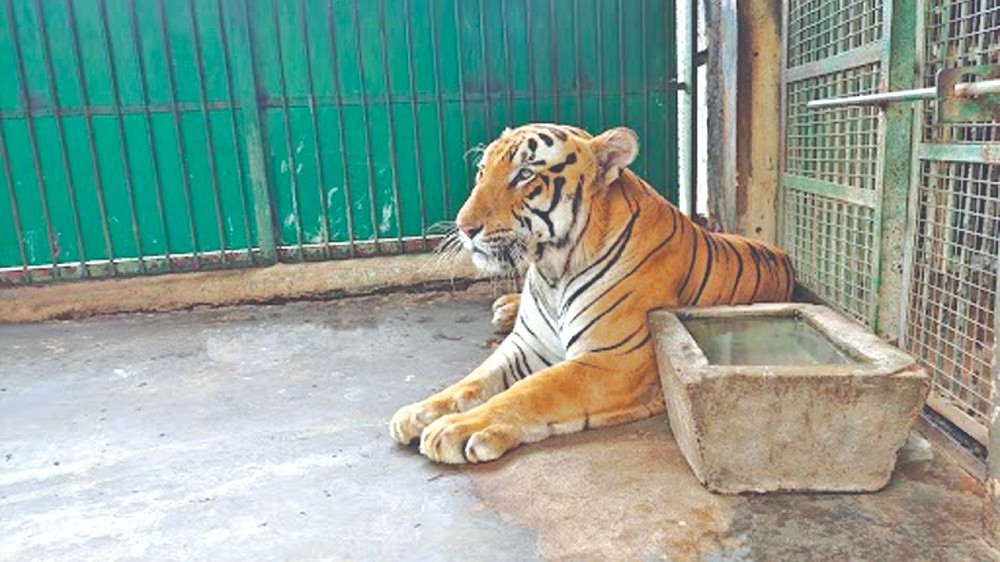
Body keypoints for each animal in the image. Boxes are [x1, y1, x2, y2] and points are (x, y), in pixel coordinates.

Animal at [390, 123, 794, 464]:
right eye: (481, 171)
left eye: (525, 174)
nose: (464, 227)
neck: (552, 270)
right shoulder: (526, 345)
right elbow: (472, 382)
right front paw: (417, 412)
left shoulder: (611, 361)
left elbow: (529, 391)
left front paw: (454, 429)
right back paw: (504, 307)